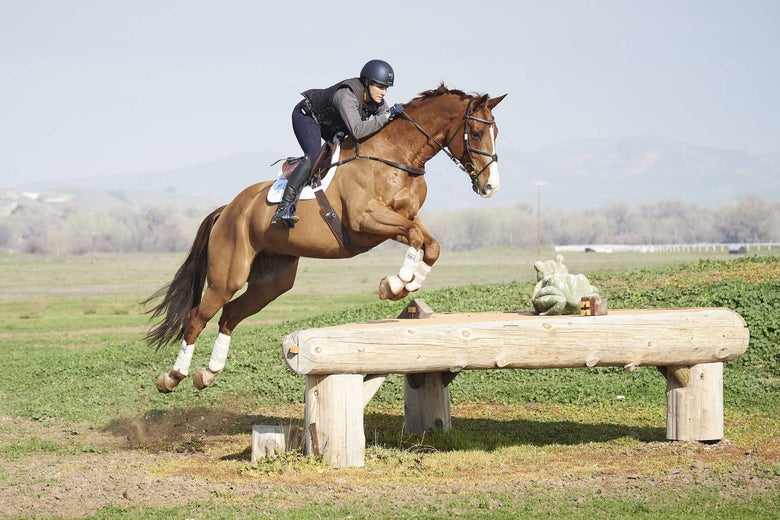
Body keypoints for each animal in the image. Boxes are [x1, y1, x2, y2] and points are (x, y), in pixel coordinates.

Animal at [146, 83, 507, 393]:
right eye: (476, 133)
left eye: (496, 132)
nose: (490, 186)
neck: (397, 156)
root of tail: (229, 209)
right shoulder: (365, 221)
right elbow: (417, 237)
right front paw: (396, 283)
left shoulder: (404, 217)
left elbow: (429, 244)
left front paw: (403, 284)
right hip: (229, 273)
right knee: (198, 317)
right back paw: (172, 377)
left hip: (273, 280)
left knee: (231, 314)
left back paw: (208, 373)